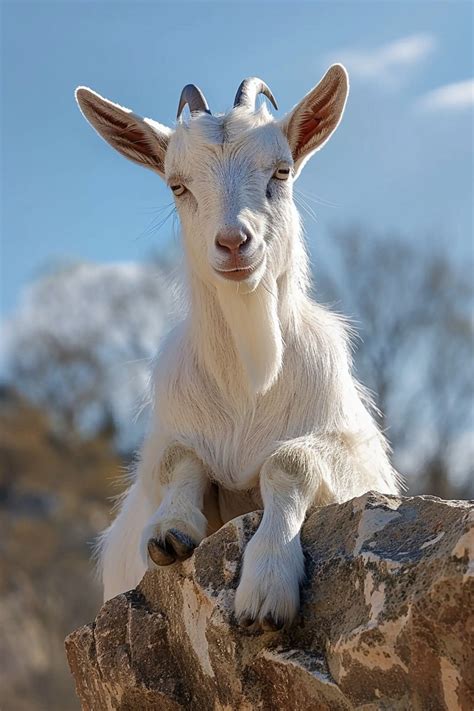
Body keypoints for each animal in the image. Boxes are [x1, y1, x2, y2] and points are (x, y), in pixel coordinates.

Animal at [76, 66, 401, 631]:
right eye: (177, 184)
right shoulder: (176, 440)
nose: (233, 243)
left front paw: (265, 591)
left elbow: (288, 460)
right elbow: (179, 459)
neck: (249, 383)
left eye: (282, 171)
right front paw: (170, 531)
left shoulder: (351, 457)